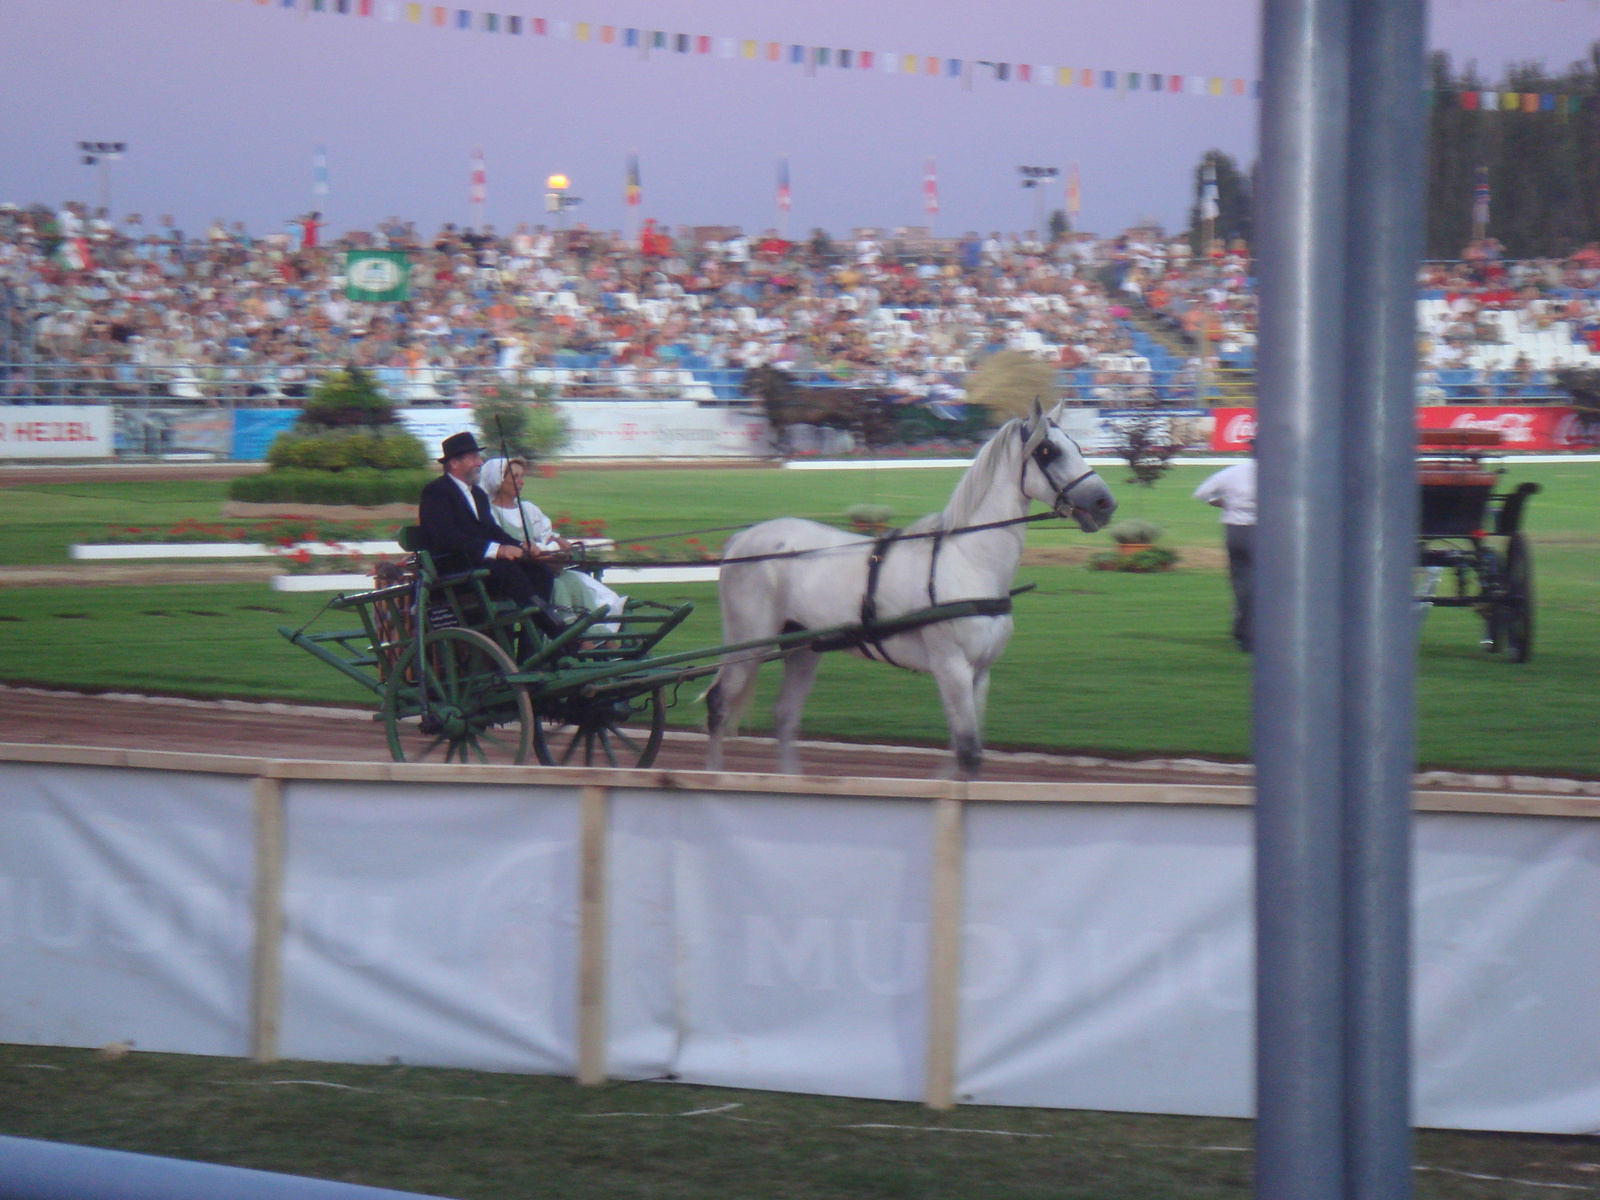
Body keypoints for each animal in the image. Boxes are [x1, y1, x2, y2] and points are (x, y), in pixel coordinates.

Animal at [707, 400, 1120, 784]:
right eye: (1049, 450)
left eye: (1077, 445)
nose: (1105, 503)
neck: (968, 559)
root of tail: (743, 539)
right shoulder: (952, 668)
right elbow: (968, 753)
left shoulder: (980, 673)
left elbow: (963, 753)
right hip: (748, 645)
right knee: (718, 707)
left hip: (803, 648)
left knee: (785, 715)